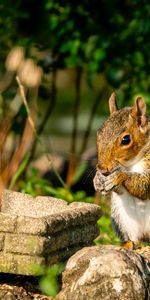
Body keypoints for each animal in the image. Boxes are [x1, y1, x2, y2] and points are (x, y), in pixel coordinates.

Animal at [94, 93, 150, 248]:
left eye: (126, 140)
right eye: (98, 134)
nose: (102, 168)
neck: (131, 164)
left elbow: (144, 184)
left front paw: (118, 176)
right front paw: (97, 179)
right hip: (122, 218)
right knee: (134, 237)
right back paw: (130, 245)